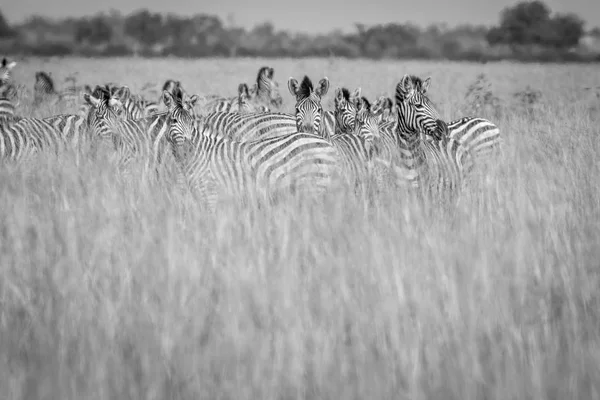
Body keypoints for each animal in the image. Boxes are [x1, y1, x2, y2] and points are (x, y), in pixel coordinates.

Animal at [163, 88, 342, 211]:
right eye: (173, 121)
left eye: (191, 121)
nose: (188, 146)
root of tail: (327, 143)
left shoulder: (211, 194)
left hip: (314, 187)